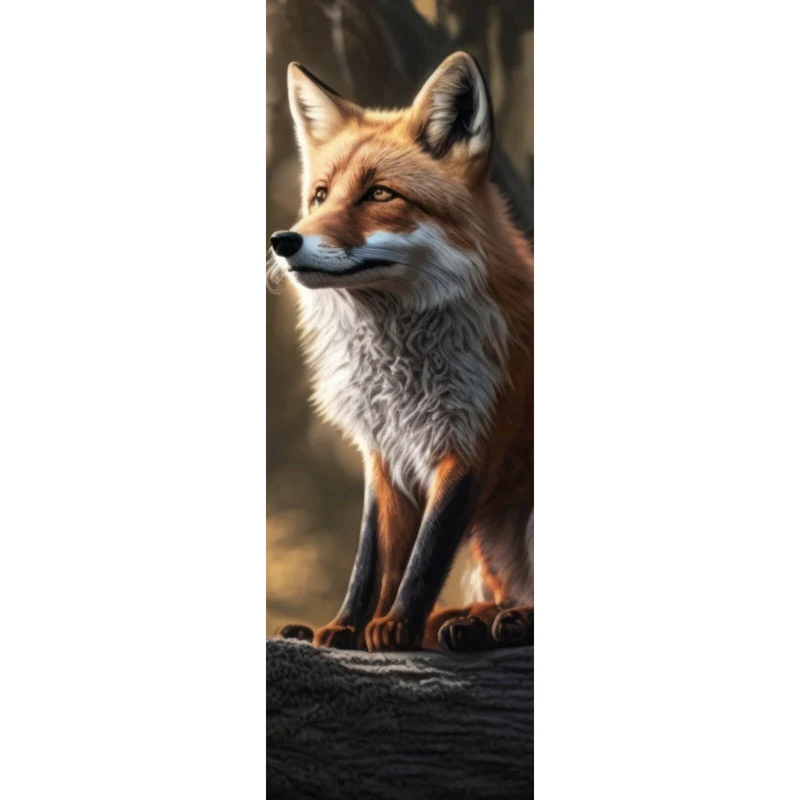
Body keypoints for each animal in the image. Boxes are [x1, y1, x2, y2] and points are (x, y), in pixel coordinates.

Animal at [269, 51, 533, 653]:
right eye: (320, 195)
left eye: (380, 195)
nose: (282, 241)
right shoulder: (384, 452)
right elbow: (373, 560)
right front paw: (346, 627)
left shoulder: (472, 443)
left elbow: (425, 557)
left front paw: (395, 627)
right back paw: (474, 623)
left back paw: (498, 624)